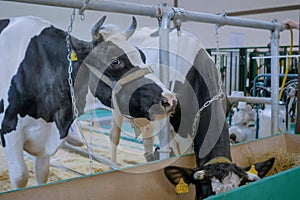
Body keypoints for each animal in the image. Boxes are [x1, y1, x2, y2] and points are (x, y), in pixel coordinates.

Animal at [0, 16, 177, 189]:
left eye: (143, 56)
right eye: (115, 61)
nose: (170, 99)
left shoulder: (44, 144)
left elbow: (42, 176)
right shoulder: (9, 129)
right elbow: (20, 176)